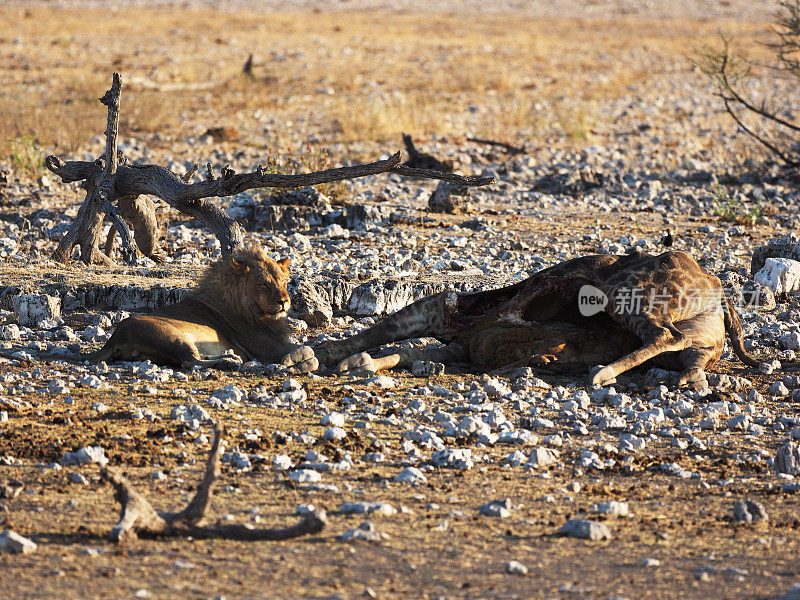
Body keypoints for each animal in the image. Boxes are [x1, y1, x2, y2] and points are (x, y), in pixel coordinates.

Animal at [88, 244, 318, 370]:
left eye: (283, 281)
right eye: (264, 284)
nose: (284, 301)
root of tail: (115, 337)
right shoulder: (267, 348)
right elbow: (306, 348)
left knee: (197, 357)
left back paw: (230, 357)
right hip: (172, 336)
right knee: (189, 361)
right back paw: (229, 362)